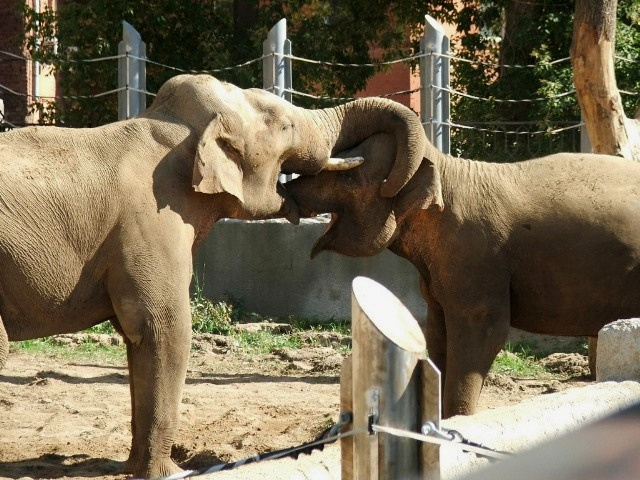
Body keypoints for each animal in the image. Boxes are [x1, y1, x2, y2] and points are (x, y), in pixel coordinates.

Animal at [0, 74, 427, 477]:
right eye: (287, 125)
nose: (384, 180)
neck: (166, 126)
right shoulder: (151, 223)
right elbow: (163, 329)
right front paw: (171, 472)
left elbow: (137, 339)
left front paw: (132, 468)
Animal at [285, 132, 640, 418]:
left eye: (348, 179)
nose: (285, 188)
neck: (448, 171)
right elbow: (436, 333)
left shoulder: (475, 257)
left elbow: (483, 333)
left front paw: (458, 422)